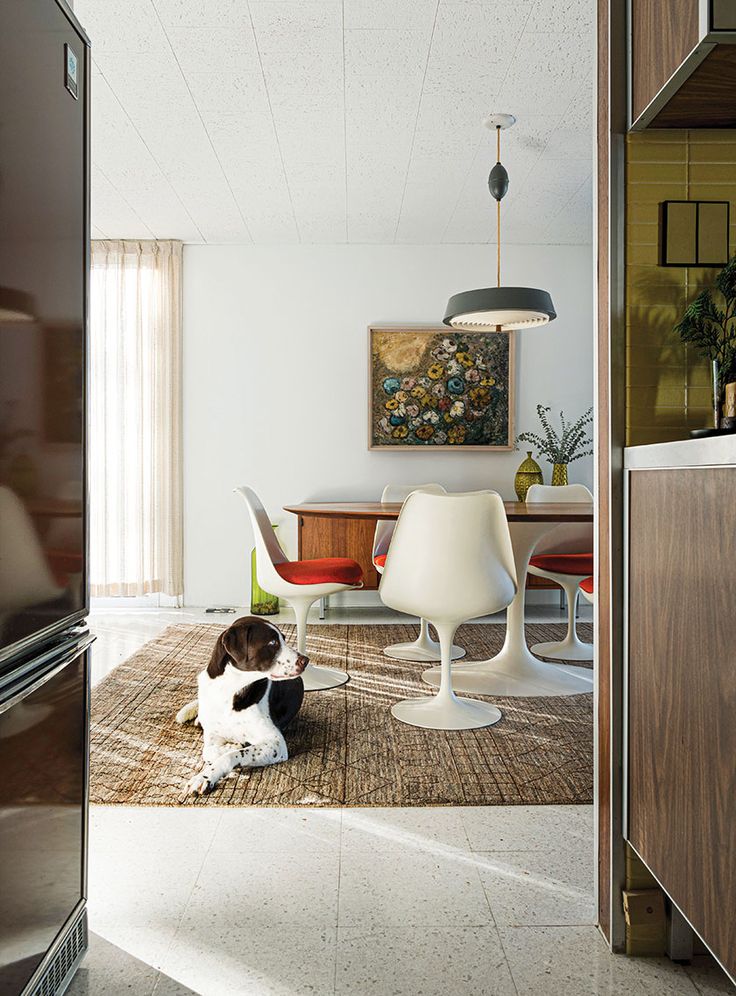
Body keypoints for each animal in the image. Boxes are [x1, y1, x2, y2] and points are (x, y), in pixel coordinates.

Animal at [177, 616, 306, 800]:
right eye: (273, 642)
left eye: (283, 639)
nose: (306, 660)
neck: (229, 690)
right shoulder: (212, 736)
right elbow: (208, 750)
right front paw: (232, 746)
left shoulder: (276, 743)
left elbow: (230, 755)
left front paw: (205, 776)